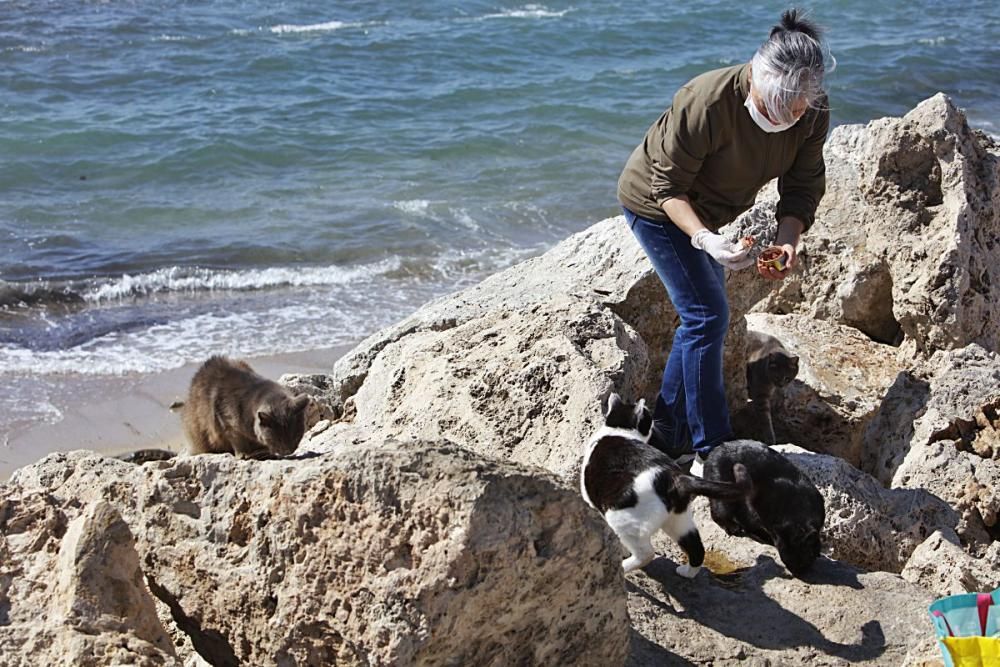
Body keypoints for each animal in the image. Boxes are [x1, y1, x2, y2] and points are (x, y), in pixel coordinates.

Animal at [580, 394, 752, 576]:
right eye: (648, 416)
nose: (654, 420)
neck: (618, 430)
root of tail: (675, 477)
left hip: (625, 521)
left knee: (647, 554)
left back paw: (623, 567)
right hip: (679, 519)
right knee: (696, 548)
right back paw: (686, 573)